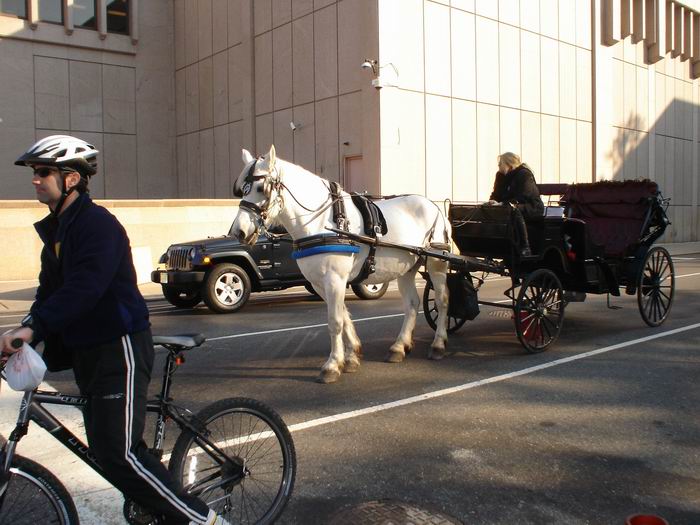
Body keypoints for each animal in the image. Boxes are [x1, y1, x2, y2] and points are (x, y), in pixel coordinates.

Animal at [230, 145, 448, 382]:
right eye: (242, 190)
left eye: (261, 188)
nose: (238, 232)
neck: (322, 222)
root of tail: (434, 206)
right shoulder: (320, 283)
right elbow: (343, 317)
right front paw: (351, 357)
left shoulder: (335, 279)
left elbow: (334, 321)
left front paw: (333, 365)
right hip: (406, 268)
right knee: (411, 304)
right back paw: (399, 346)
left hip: (436, 262)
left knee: (442, 300)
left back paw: (438, 344)